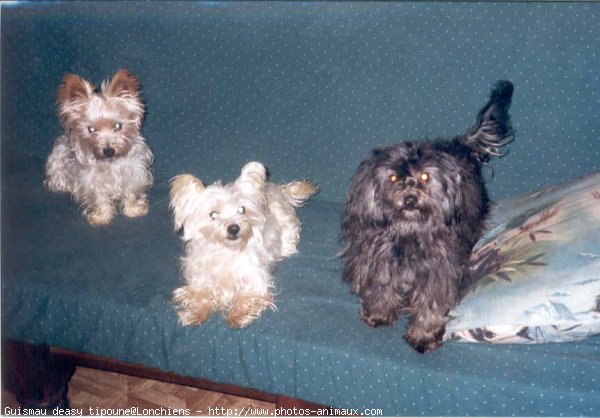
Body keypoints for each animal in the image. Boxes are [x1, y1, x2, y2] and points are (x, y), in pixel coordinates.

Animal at [43, 69, 154, 225]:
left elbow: (131, 192)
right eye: (91, 129)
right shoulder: (91, 180)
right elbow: (99, 197)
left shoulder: (134, 173)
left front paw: (134, 210)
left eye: (118, 126)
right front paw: (101, 217)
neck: (110, 163)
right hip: (57, 163)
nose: (108, 151)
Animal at [169, 162, 318, 328]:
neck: (226, 252)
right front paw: (195, 313)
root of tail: (275, 188)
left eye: (242, 209)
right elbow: (200, 295)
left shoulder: (255, 282)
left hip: (287, 230)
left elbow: (245, 299)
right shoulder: (199, 280)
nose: (234, 228)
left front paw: (237, 316)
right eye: (213, 215)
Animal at [342, 81, 516, 352]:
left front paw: (424, 335)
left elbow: (431, 304)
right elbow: (381, 288)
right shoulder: (378, 261)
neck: (409, 231)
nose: (410, 198)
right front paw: (380, 314)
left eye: (424, 176)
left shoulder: (439, 271)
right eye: (393, 178)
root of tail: (460, 144)